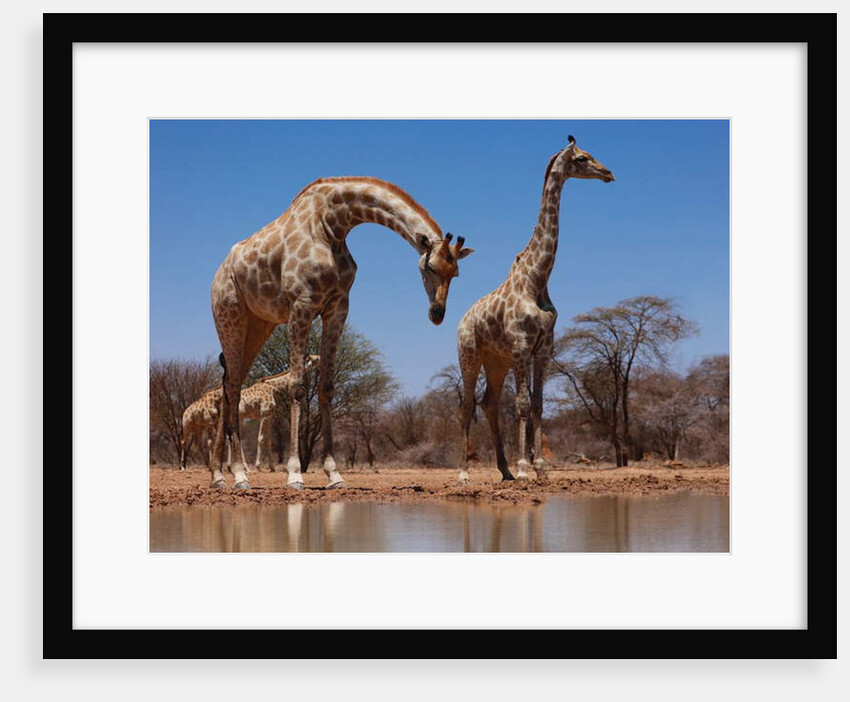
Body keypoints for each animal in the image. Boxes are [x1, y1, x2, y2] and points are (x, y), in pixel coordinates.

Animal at [179, 356, 320, 471]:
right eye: (311, 358)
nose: (318, 357)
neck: (274, 388)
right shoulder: (264, 414)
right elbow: (261, 438)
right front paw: (258, 466)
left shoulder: (270, 416)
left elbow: (268, 440)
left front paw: (272, 467)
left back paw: (228, 466)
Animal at [210, 177, 473, 490]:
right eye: (430, 266)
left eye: (456, 273)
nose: (437, 314)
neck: (332, 226)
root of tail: (218, 274)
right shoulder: (302, 305)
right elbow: (298, 386)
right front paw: (295, 474)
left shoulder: (337, 308)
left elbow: (326, 387)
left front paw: (334, 474)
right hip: (230, 317)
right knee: (232, 387)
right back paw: (238, 475)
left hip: (259, 325)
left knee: (229, 384)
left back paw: (219, 475)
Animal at [456, 135, 614, 485]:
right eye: (582, 158)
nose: (609, 173)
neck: (537, 279)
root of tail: (461, 321)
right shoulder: (520, 347)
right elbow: (523, 405)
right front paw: (525, 466)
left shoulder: (542, 349)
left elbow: (539, 405)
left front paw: (540, 467)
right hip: (469, 355)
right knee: (466, 404)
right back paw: (464, 473)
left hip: (496, 360)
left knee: (488, 402)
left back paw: (504, 471)